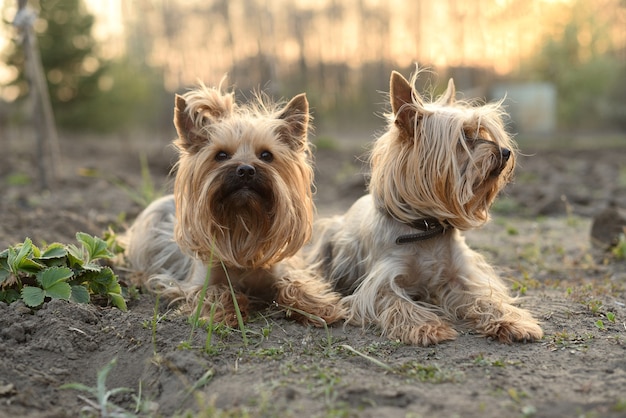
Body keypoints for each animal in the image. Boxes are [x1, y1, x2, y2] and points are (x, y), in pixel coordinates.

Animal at [123, 81, 344, 326]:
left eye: (266, 155)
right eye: (221, 155)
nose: (246, 170)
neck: (242, 221)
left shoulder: (281, 269)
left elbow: (293, 282)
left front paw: (318, 307)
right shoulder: (198, 283)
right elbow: (217, 291)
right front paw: (225, 312)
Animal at [306, 69, 540, 346]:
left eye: (482, 132)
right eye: (464, 138)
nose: (505, 152)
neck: (427, 228)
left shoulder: (463, 275)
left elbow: (485, 297)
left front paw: (513, 322)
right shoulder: (381, 282)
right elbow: (396, 301)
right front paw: (428, 327)